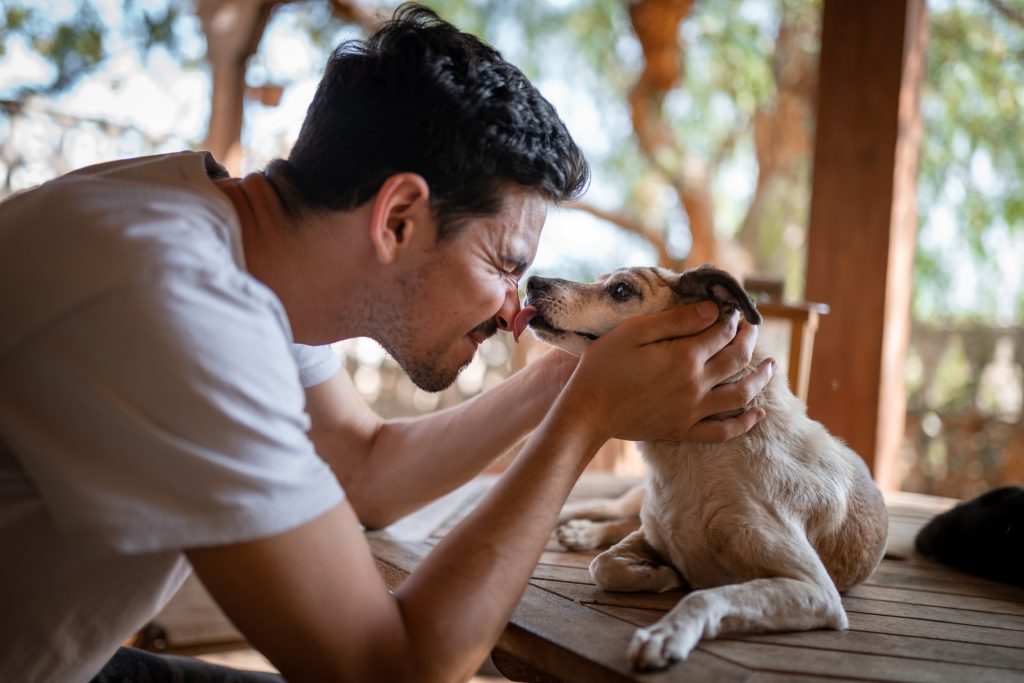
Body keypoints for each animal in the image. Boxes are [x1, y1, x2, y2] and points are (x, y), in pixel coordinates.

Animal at [512, 266, 888, 671]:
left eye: (621, 290)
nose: (532, 281)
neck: (690, 458)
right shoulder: (648, 535)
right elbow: (604, 565)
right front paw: (662, 574)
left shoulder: (813, 588)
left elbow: (706, 595)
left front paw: (667, 632)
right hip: (632, 502)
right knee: (607, 512)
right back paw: (577, 528)